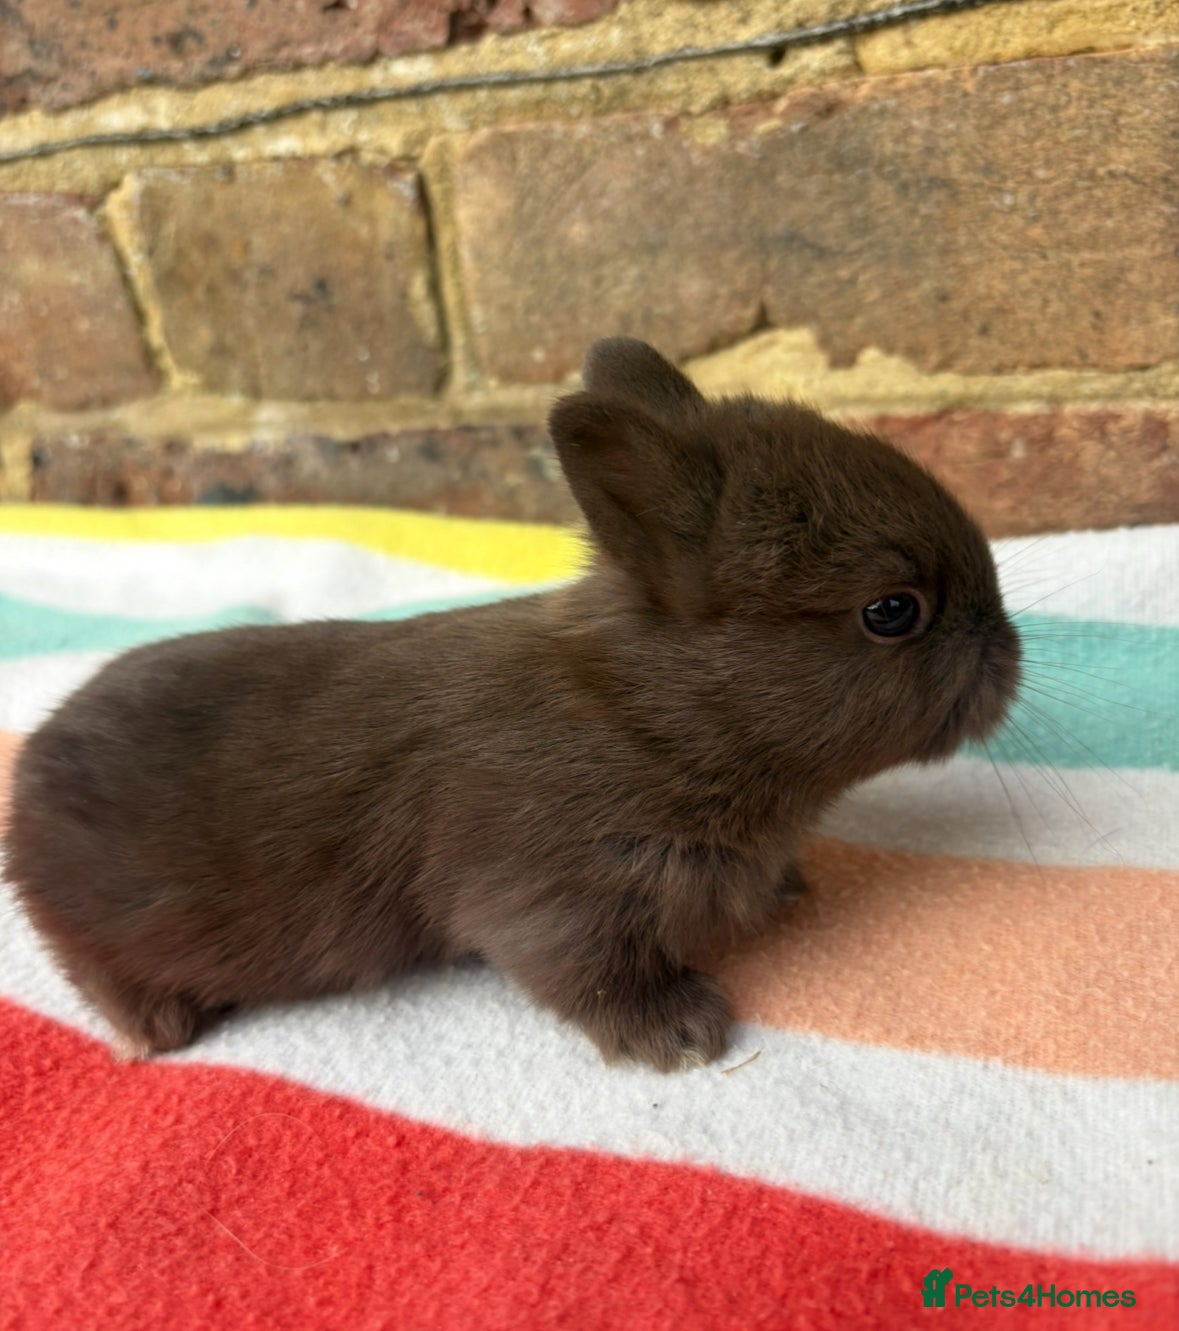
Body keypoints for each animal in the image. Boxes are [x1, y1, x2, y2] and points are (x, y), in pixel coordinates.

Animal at [3, 338, 1021, 1071]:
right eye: (891, 611)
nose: (1010, 652)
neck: (650, 715)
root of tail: (29, 780)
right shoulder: (552, 895)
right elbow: (589, 975)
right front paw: (682, 1035)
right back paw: (156, 1027)